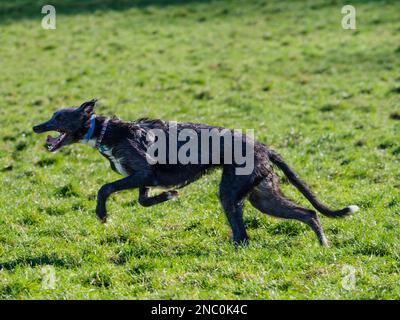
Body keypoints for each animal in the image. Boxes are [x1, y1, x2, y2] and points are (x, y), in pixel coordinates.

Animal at [33, 98, 360, 245]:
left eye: (58, 117)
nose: (36, 127)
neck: (105, 131)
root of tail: (264, 147)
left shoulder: (142, 174)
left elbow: (105, 188)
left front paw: (101, 214)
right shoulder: (146, 179)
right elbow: (144, 200)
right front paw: (168, 196)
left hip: (233, 193)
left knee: (243, 233)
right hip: (262, 196)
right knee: (308, 213)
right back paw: (323, 244)